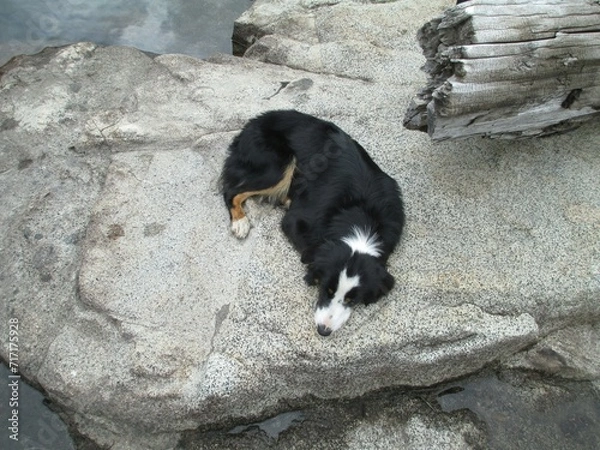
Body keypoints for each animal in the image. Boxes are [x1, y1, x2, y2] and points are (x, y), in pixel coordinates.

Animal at [219, 110, 404, 334]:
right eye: (327, 289)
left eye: (352, 300)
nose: (323, 331)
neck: (360, 215)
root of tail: (254, 120)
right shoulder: (297, 220)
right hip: (277, 162)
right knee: (232, 190)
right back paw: (240, 223)